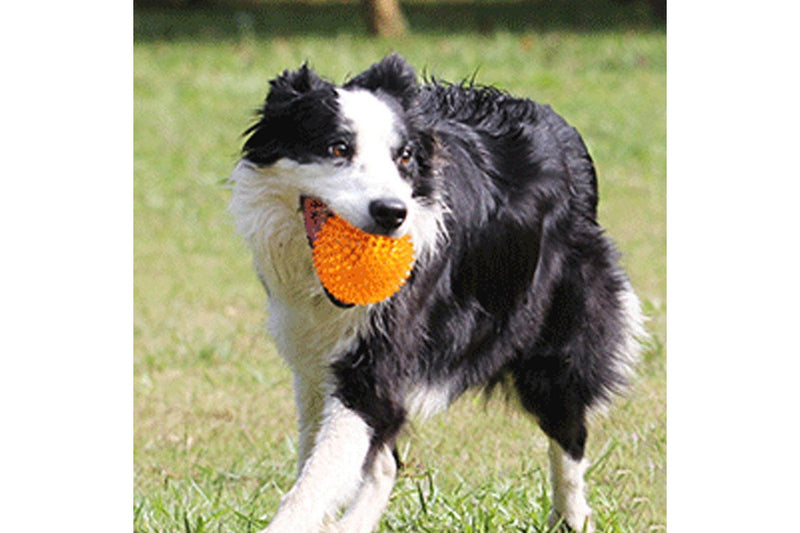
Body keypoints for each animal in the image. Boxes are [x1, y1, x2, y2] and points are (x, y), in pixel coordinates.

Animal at [230, 55, 644, 532]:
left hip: (556, 328)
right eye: (337, 148)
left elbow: (318, 477)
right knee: (384, 463)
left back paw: (571, 515)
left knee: (568, 426)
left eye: (404, 157)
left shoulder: (379, 356)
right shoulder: (312, 358)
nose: (392, 213)